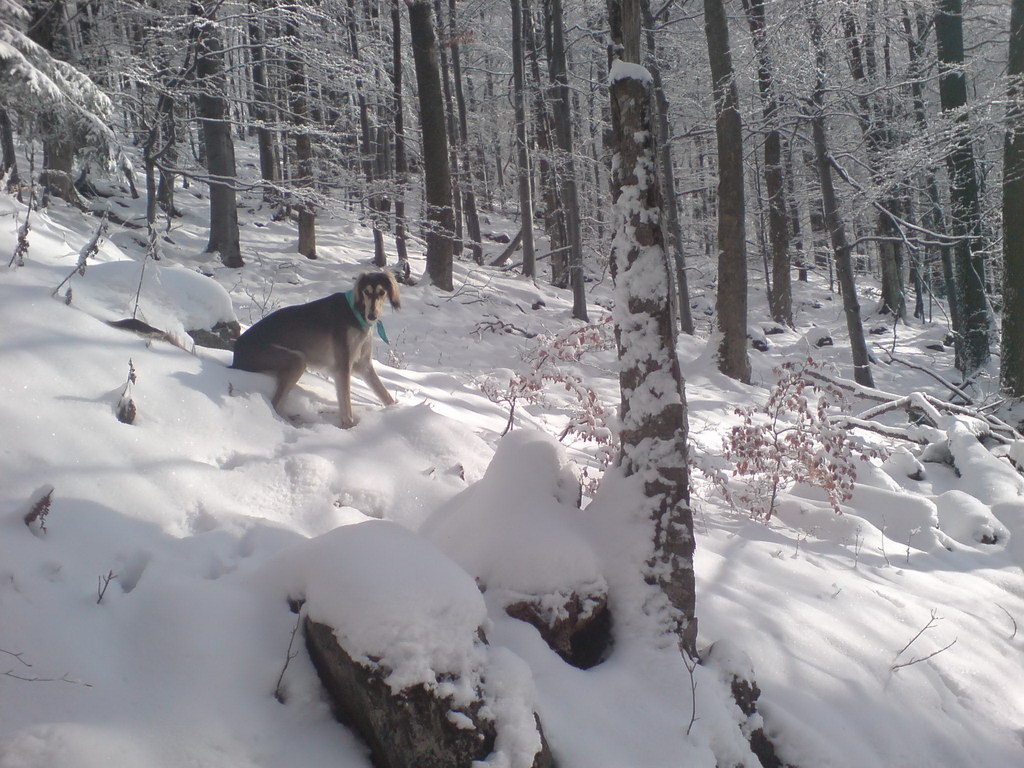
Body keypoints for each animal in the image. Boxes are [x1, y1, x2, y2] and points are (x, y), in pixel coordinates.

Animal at [232, 272, 399, 430]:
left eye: (382, 292)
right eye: (366, 291)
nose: (372, 316)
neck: (356, 313)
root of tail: (236, 351)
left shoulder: (364, 365)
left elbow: (385, 395)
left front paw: (396, 411)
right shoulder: (343, 367)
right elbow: (346, 406)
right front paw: (349, 428)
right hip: (296, 359)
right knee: (275, 404)